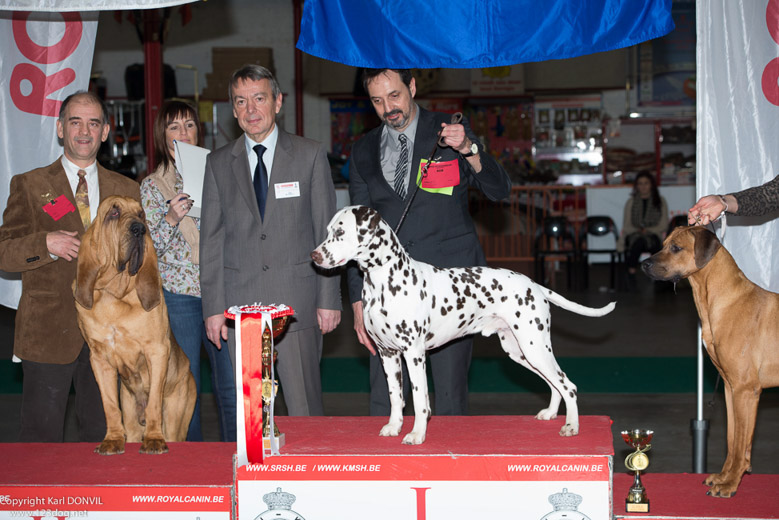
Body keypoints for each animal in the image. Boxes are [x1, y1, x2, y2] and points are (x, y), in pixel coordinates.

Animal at [73, 195, 197, 456]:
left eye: (141, 214)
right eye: (114, 213)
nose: (140, 229)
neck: (113, 295)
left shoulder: (156, 351)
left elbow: (153, 403)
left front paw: (154, 440)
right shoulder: (99, 360)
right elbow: (110, 405)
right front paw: (111, 440)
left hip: (178, 411)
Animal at [310, 205, 616, 444]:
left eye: (340, 232)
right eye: (328, 230)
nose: (314, 256)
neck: (385, 279)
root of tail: (536, 286)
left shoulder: (414, 354)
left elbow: (419, 400)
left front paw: (417, 434)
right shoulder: (388, 354)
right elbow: (396, 397)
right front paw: (394, 427)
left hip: (535, 347)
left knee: (568, 385)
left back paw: (571, 426)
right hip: (521, 352)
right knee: (554, 384)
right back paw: (551, 414)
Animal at [644, 225, 776, 498]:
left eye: (676, 247)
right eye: (663, 244)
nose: (643, 264)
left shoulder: (745, 390)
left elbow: (740, 443)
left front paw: (730, 484)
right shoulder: (730, 388)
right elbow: (733, 439)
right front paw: (724, 476)